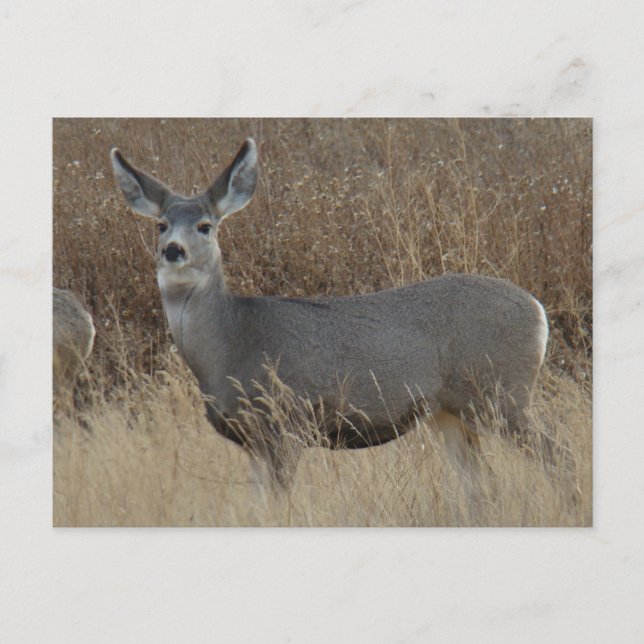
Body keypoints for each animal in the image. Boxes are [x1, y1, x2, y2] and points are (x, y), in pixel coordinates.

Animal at [110, 138, 548, 492]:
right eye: (161, 225)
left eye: (205, 225)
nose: (172, 250)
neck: (229, 346)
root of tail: (537, 310)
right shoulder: (250, 439)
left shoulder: (284, 422)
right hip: (450, 412)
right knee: (482, 486)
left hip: (502, 393)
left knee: (553, 457)